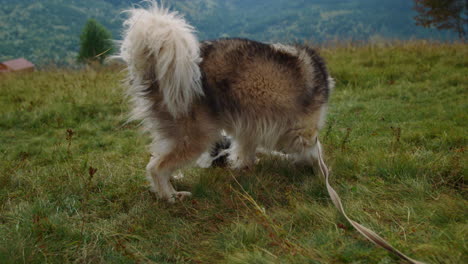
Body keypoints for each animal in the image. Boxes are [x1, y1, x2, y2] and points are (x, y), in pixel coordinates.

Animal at [119, 2, 334, 202]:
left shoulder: (250, 131)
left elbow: (247, 153)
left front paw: (247, 169)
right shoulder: (305, 131)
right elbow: (315, 154)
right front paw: (322, 175)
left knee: (157, 160)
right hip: (196, 136)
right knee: (156, 167)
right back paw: (170, 196)